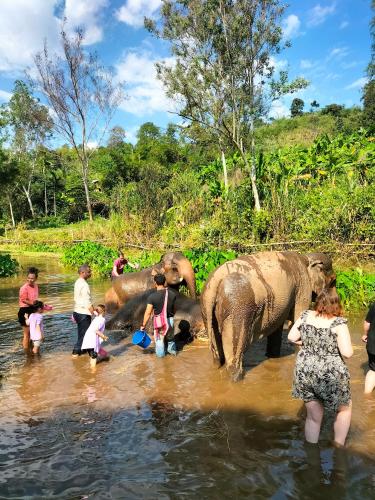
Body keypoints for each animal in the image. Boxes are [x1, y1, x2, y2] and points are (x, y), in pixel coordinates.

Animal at [201, 252, 336, 380]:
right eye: (333, 280)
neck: (307, 258)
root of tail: (215, 281)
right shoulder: (303, 287)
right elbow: (298, 318)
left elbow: (277, 327)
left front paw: (272, 356)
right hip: (237, 310)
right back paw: (236, 378)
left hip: (207, 309)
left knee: (217, 355)